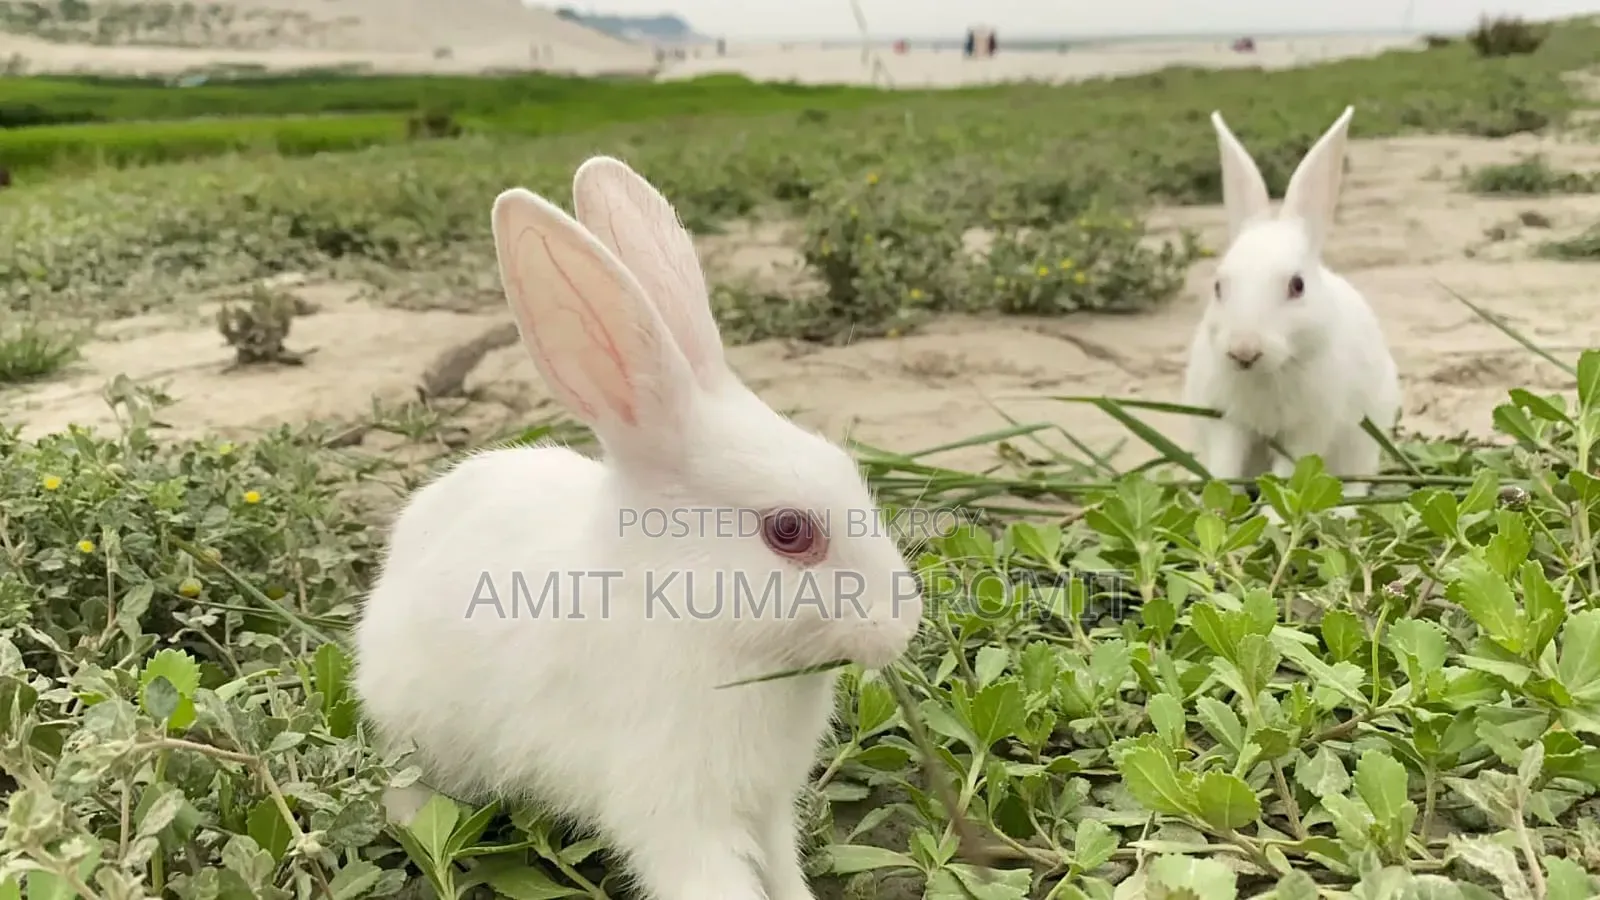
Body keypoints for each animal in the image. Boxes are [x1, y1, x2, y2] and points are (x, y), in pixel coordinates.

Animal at [350, 157, 925, 900]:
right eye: (790, 531)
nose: (902, 626)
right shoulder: (679, 817)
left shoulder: (767, 810)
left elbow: (783, 874)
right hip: (413, 732)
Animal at [1181, 105, 1401, 519]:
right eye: (1218, 286)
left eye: (1297, 286)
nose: (1243, 351)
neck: (1270, 372)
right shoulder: (1227, 423)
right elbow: (1223, 468)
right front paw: (1214, 510)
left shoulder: (1305, 431)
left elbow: (1285, 475)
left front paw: (1269, 518)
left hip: (1363, 440)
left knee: (1359, 481)